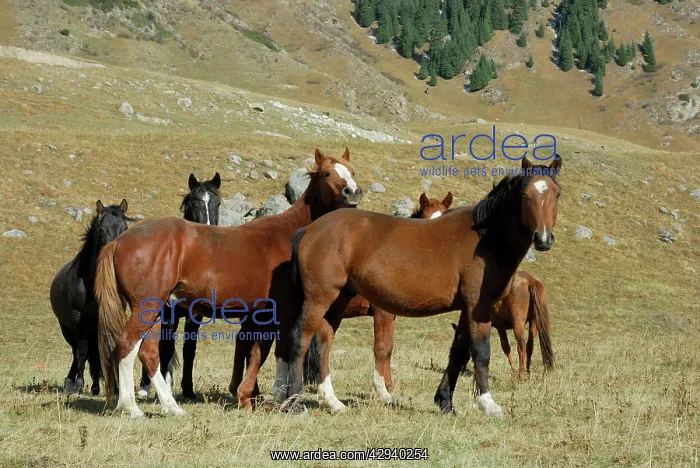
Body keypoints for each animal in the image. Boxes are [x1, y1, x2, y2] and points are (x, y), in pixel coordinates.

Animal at [50, 199, 133, 396]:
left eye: (125, 228)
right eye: (101, 230)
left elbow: (107, 350)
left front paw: (116, 388)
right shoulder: (78, 318)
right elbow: (82, 352)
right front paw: (78, 385)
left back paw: (95, 387)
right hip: (68, 328)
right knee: (77, 352)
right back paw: (70, 383)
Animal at [138, 172, 221, 401]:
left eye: (218, 203)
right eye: (193, 203)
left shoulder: (195, 317)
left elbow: (189, 349)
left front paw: (188, 390)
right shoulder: (169, 316)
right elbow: (166, 349)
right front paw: (165, 390)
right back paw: (145, 387)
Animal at [302, 191, 454, 405]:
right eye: (426, 218)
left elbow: (388, 349)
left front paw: (388, 387)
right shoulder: (383, 313)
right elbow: (382, 348)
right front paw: (384, 390)